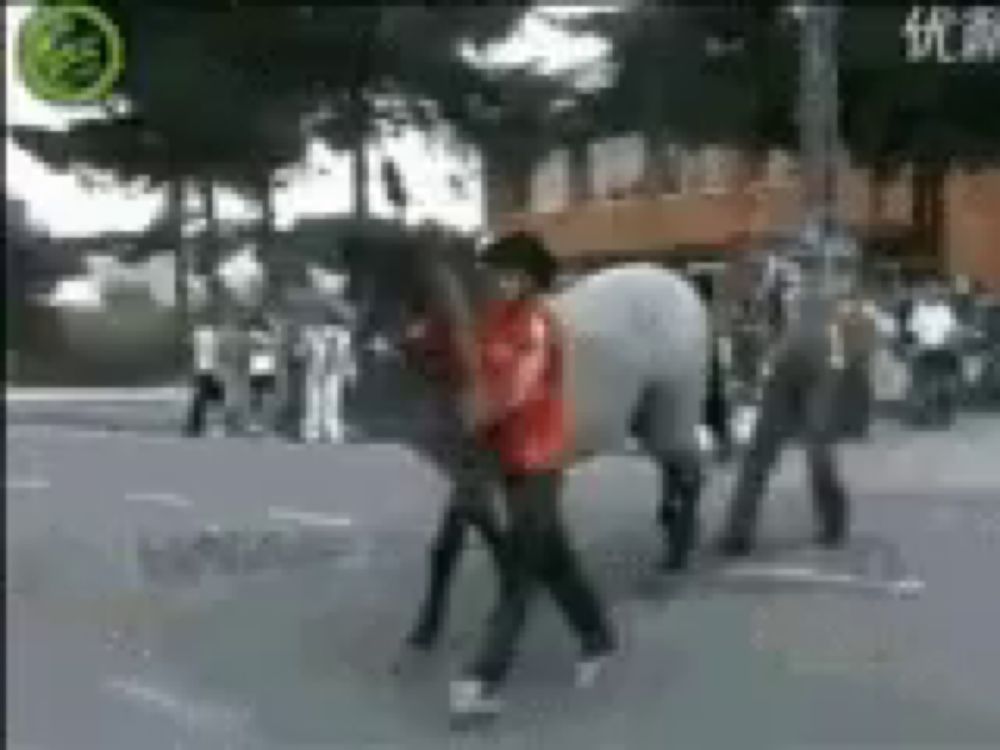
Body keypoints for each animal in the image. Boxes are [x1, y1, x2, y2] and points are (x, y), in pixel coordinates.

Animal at [340, 223, 724, 652]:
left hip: (669, 412)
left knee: (689, 472)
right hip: (646, 418)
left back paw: (675, 556)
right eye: (355, 292)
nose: (362, 405)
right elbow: (454, 542)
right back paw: (671, 524)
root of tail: (680, 284)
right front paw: (427, 627)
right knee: (674, 469)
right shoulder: (467, 471)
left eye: (420, 302)